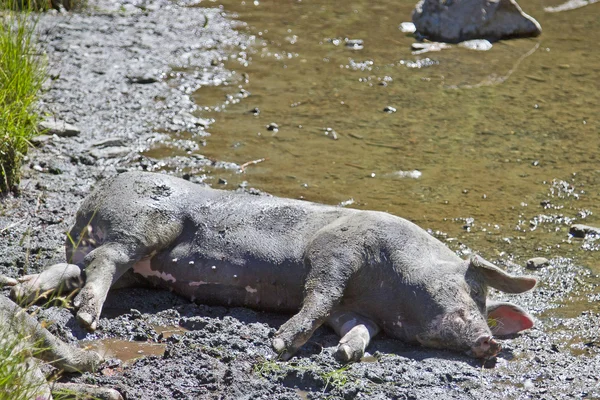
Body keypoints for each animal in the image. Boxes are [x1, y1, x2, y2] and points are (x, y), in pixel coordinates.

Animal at [12, 172, 540, 362]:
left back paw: (20, 291)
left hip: (115, 258)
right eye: (474, 290)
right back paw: (85, 318)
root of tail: (93, 196)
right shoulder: (337, 250)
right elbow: (320, 293)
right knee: (104, 261)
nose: (490, 340)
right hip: (140, 226)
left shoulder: (355, 309)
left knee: (72, 270)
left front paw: (344, 354)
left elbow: (358, 327)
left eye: (485, 303)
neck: (387, 292)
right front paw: (282, 344)